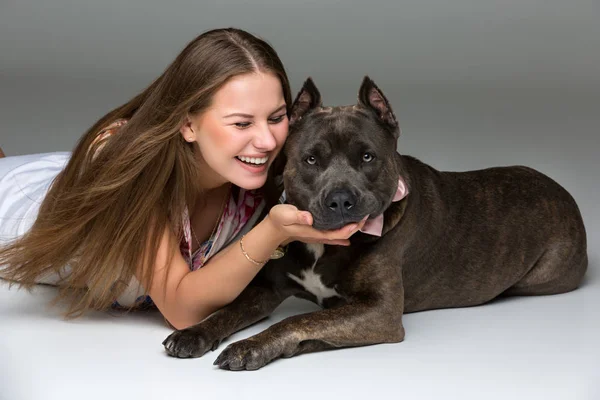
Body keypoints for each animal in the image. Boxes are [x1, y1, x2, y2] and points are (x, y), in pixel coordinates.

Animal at [162, 76, 588, 370]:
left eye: (367, 157)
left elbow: (302, 319)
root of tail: (561, 189)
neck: (323, 247)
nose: (340, 199)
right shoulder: (266, 289)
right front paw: (195, 333)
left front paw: (251, 346)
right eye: (311, 159)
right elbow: (228, 310)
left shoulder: (379, 313)